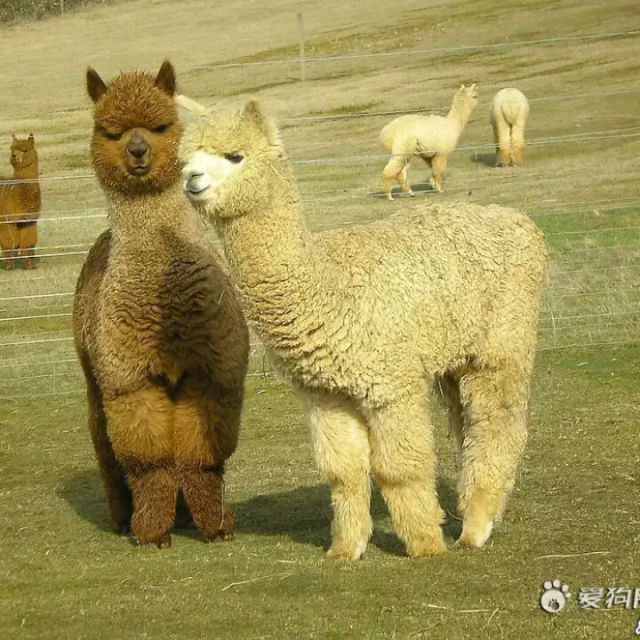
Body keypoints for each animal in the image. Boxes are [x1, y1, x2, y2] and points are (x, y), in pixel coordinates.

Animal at [0, 134, 41, 269]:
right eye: (12, 149)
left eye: (25, 150)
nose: (13, 156)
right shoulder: (6, 220)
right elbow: (9, 243)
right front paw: (9, 266)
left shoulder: (28, 221)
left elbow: (28, 244)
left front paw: (30, 266)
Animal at [72, 62, 249, 548]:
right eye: (110, 131)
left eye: (161, 126)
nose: (137, 152)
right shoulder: (131, 379)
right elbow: (150, 462)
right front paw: (152, 531)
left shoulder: (212, 370)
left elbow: (201, 457)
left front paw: (216, 524)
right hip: (95, 375)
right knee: (104, 442)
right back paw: (123, 518)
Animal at [178, 97, 548, 560]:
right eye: (184, 158)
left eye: (234, 156)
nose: (190, 179)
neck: (327, 286)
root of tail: (518, 220)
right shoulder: (325, 394)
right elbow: (344, 471)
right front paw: (346, 548)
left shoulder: (390, 383)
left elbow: (398, 468)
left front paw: (425, 544)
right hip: (456, 356)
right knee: (466, 427)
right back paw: (473, 511)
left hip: (501, 344)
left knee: (499, 424)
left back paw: (475, 528)